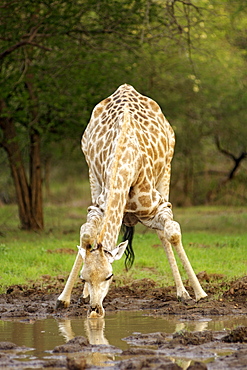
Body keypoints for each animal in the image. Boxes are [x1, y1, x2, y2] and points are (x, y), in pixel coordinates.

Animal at [56, 84, 206, 318]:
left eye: (109, 276)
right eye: (83, 277)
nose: (95, 310)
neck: (126, 163)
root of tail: (126, 87)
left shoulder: (159, 206)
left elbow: (172, 233)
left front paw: (198, 294)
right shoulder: (98, 206)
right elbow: (87, 235)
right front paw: (65, 298)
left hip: (166, 172)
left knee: (163, 233)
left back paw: (182, 292)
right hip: (92, 175)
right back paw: (84, 296)